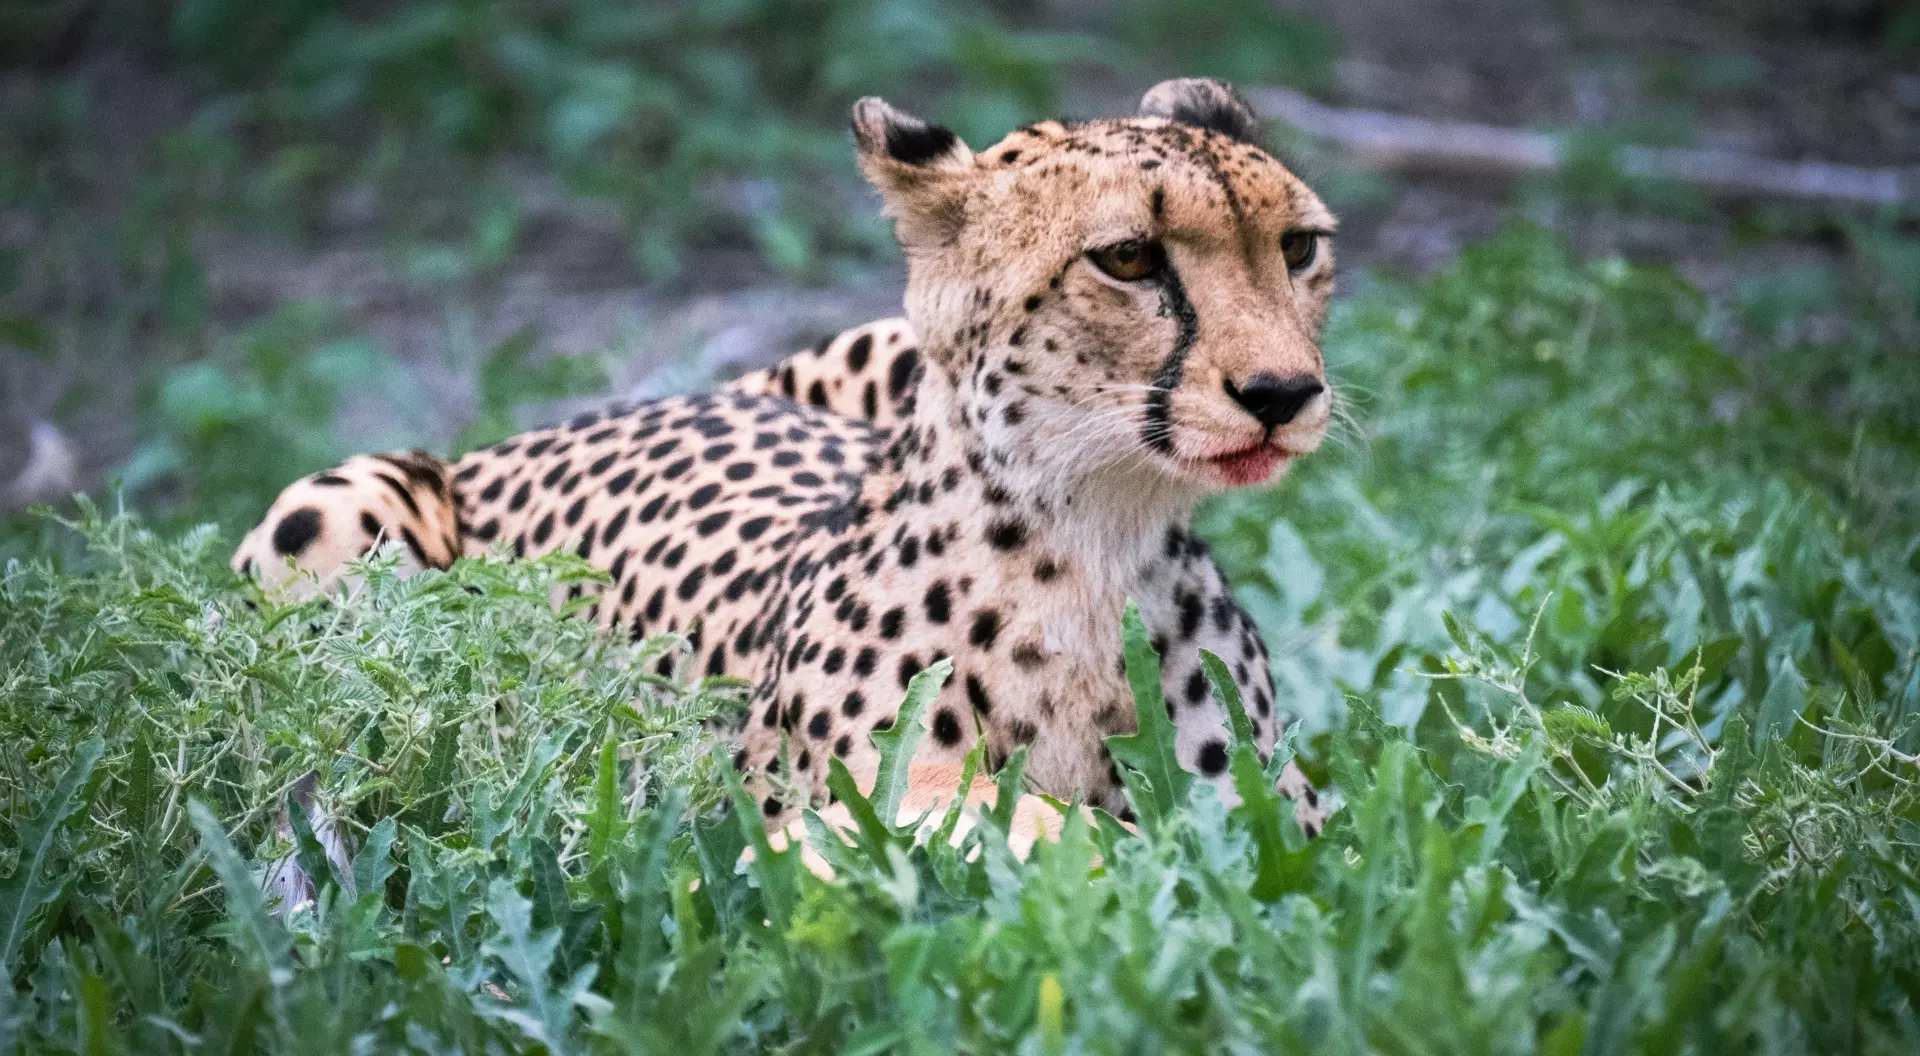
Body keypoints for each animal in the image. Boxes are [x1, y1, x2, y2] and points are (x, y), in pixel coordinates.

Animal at [232, 78, 1339, 840]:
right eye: (1128, 258)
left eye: (1299, 248)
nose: (1283, 393)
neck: (1096, 538)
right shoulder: (853, 792)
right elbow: (1005, 814)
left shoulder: (1280, 796)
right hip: (336, 511)